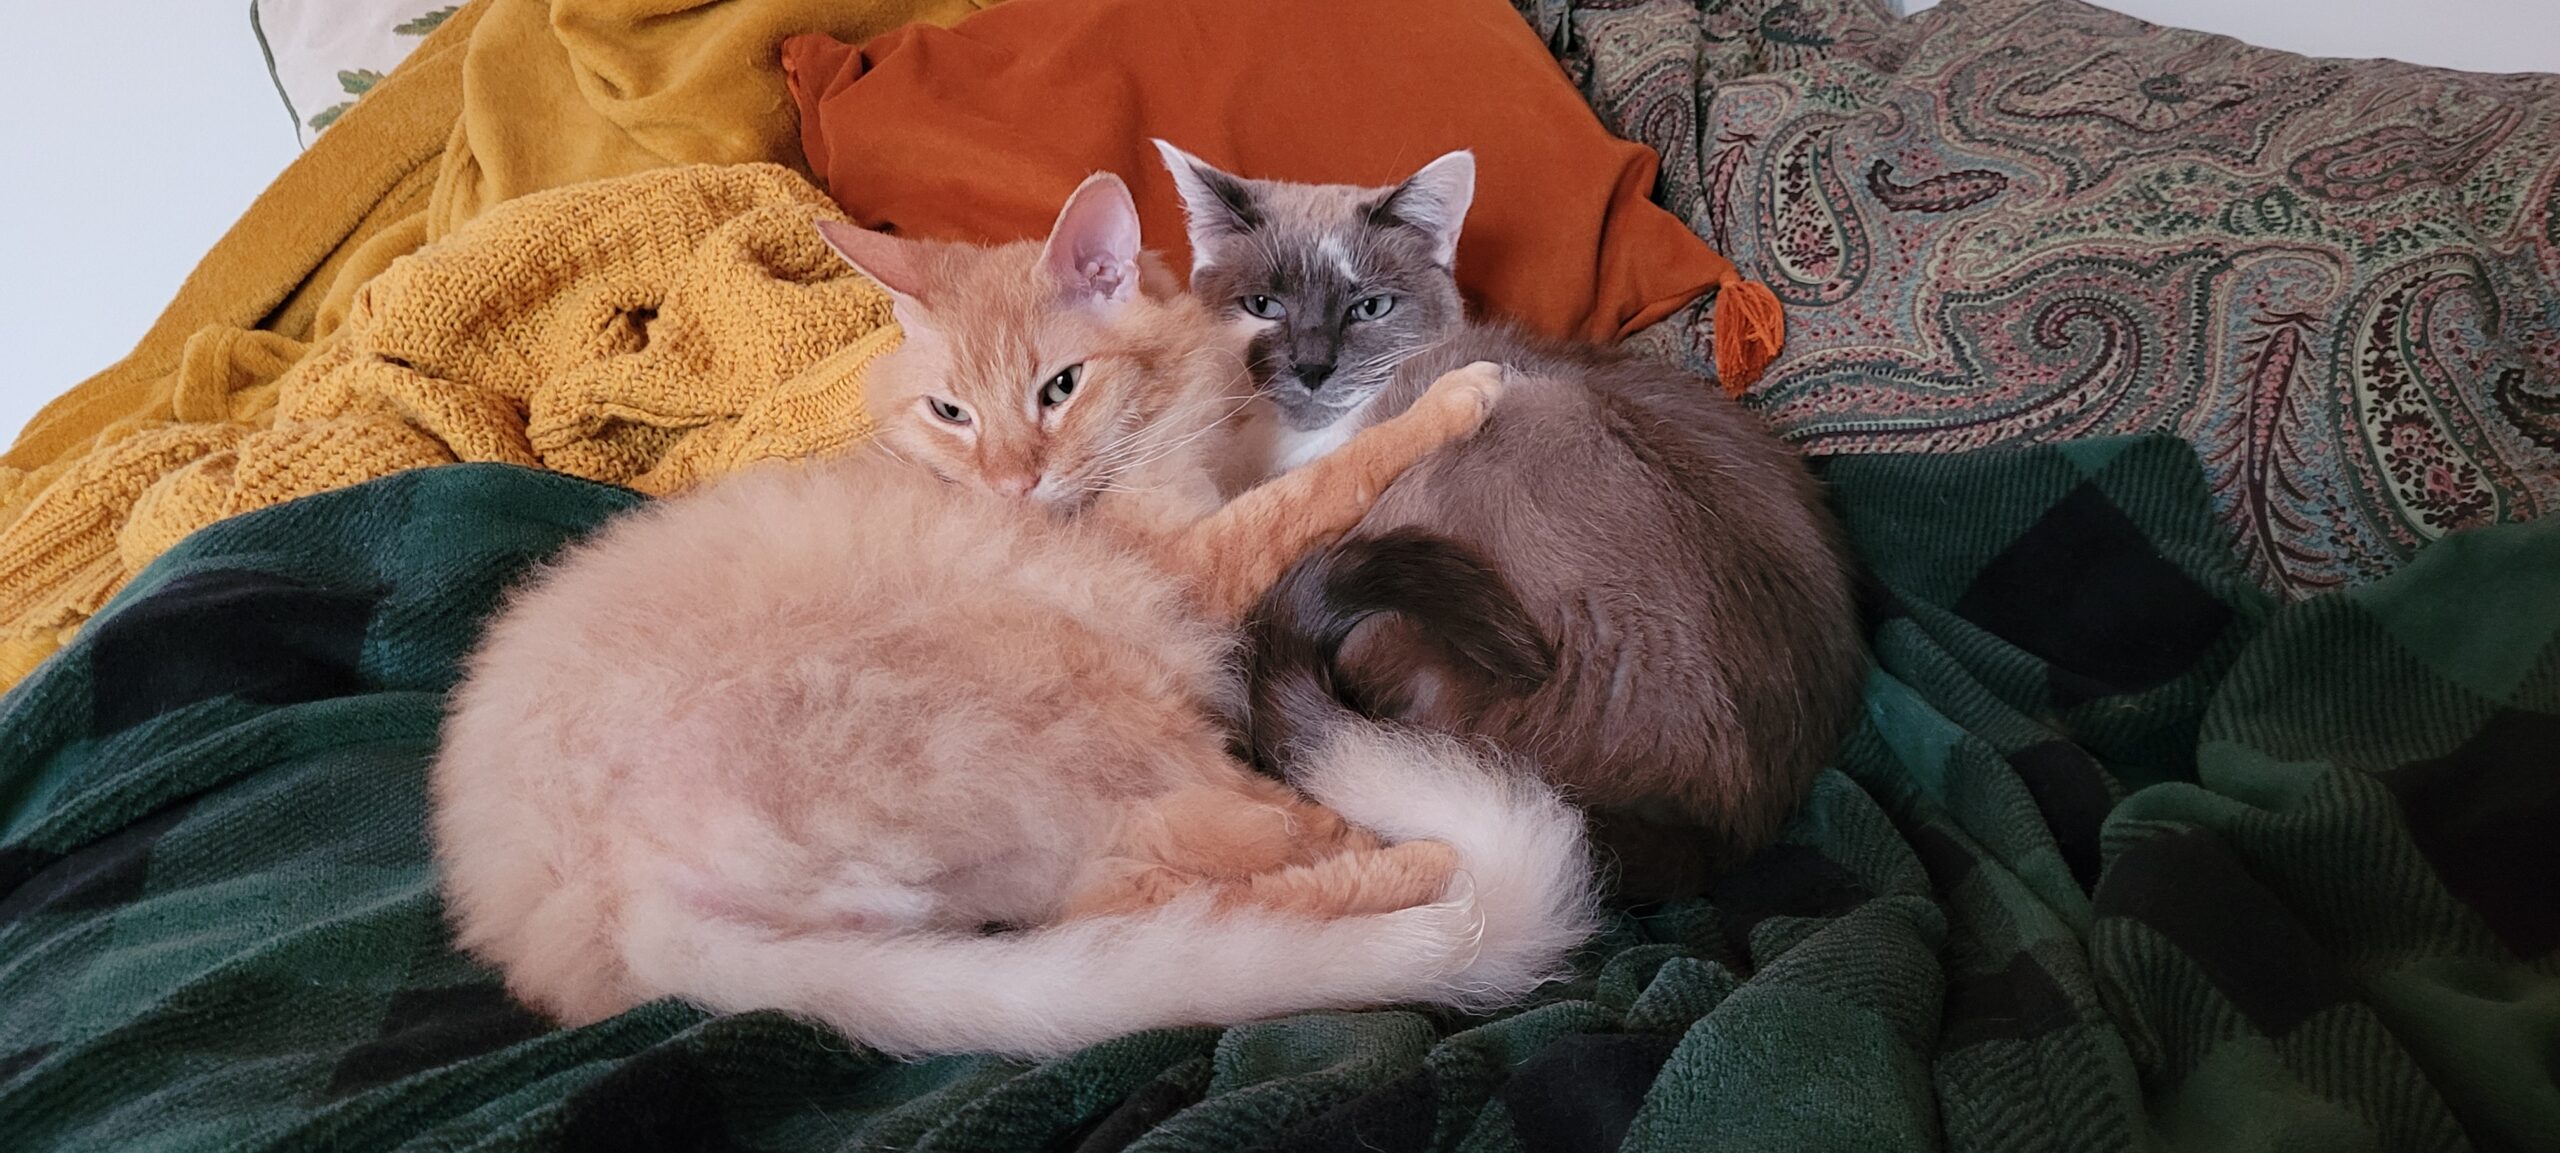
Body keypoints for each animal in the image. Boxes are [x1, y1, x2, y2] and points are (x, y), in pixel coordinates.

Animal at [435, 175, 1597, 1060]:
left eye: (1059, 388)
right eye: (951, 411)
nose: (1010, 487)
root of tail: (626, 914)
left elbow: (1280, 450)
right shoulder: (1188, 565)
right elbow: (1320, 482)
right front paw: (1456, 395)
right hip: (1078, 696)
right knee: (1205, 875)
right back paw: (1428, 864)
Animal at [1157, 141, 1863, 901]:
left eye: (1369, 307)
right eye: (1263, 305)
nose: (1313, 367)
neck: (1283, 442)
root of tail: (1721, 835)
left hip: (1536, 413)